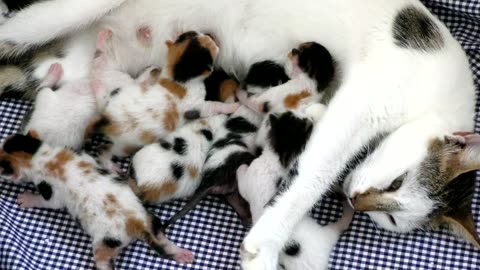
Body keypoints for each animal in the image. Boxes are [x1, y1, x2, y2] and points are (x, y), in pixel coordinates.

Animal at [0, 133, 195, 270]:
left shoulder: (49, 189)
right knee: (161, 236)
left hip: (105, 243)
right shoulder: (81, 155)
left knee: (103, 261)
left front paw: (27, 198)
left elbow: (49, 202)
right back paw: (181, 254)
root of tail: (135, 223)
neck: (44, 157)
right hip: (149, 218)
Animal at [237, 110, 352, 270]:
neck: (278, 160)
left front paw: (240, 167)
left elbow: (241, 177)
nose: (307, 115)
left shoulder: (250, 179)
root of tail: (327, 239)